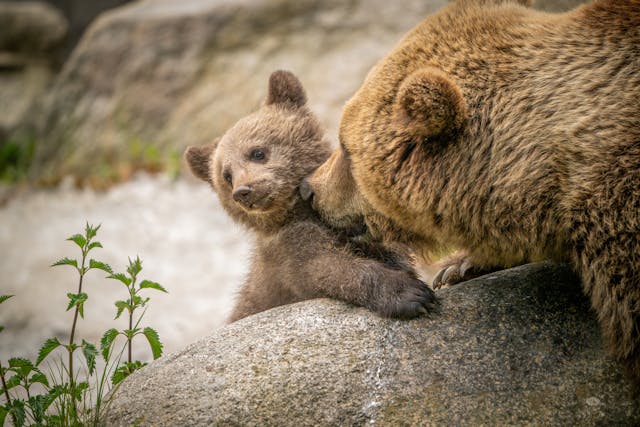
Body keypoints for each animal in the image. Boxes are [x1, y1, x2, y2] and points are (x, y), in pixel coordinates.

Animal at [185, 70, 437, 322]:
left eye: (257, 152)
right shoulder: (290, 251)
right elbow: (327, 269)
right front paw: (412, 294)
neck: (300, 211)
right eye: (226, 175)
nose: (243, 191)